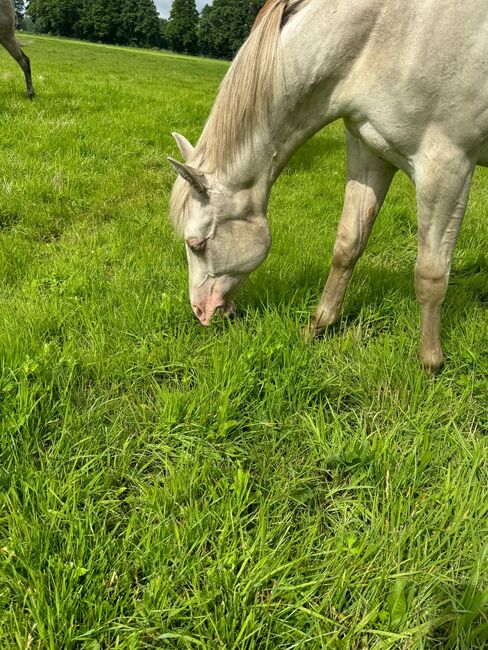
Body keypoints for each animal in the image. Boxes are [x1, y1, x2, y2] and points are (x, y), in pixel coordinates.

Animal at [169, 0, 488, 370]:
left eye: (196, 245)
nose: (200, 312)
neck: (389, 36)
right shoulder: (369, 154)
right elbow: (347, 245)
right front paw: (317, 327)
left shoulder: (447, 167)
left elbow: (431, 273)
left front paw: (430, 362)